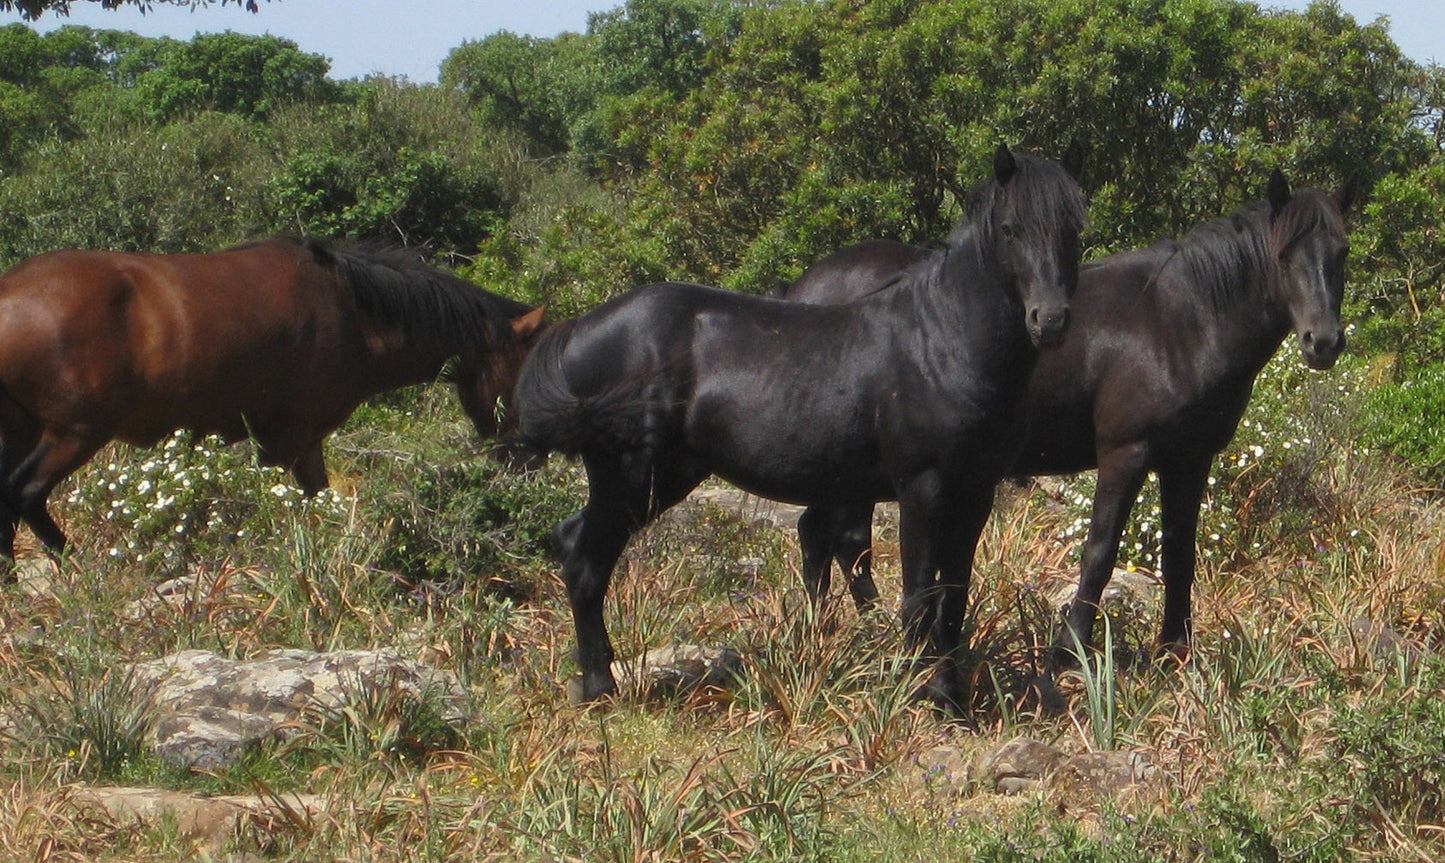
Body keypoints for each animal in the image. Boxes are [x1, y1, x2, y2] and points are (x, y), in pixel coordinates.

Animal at [0, 235, 546, 572]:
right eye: (525, 378)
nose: (531, 462)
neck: (353, 312)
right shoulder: (286, 437)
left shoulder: (303, 442)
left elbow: (312, 495)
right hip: (76, 432)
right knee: (24, 492)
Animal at [518, 145, 1086, 704]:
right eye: (1010, 228)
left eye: (1073, 228)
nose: (1051, 320)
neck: (940, 340)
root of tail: (580, 328)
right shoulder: (922, 489)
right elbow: (920, 597)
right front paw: (918, 694)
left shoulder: (975, 492)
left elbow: (953, 599)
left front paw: (950, 698)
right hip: (633, 479)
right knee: (585, 562)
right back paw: (599, 687)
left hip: (665, 477)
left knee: (577, 546)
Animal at [784, 169, 1353, 666]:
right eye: (1284, 254)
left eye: (1342, 253)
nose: (1322, 341)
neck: (1180, 322)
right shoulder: (1125, 453)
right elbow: (1100, 552)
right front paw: (1069, 650)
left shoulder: (1189, 460)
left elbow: (1180, 556)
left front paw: (1174, 654)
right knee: (840, 539)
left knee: (825, 536)